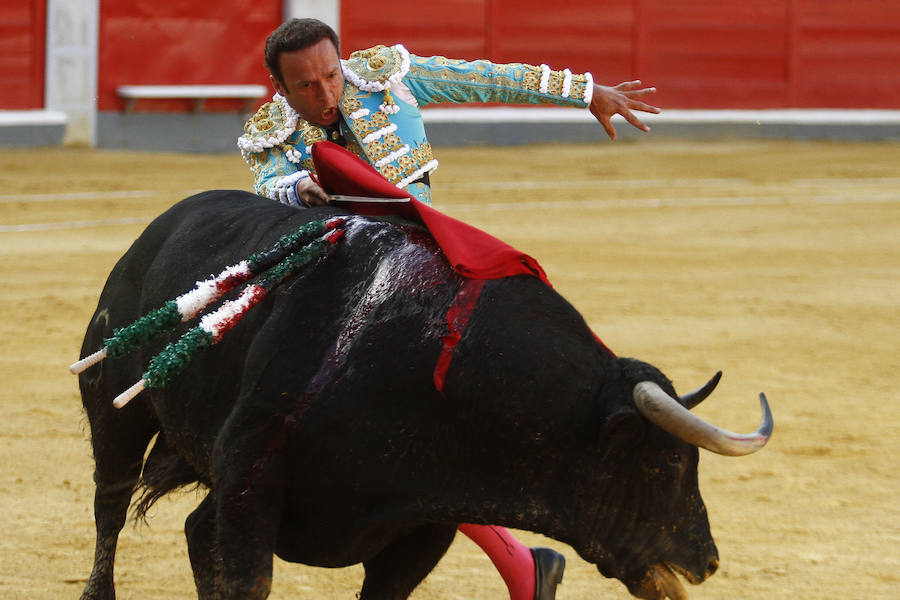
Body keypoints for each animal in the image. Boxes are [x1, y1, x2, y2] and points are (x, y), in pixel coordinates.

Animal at [74, 190, 772, 596]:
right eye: (668, 462)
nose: (706, 560)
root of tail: (163, 223)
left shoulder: (425, 520)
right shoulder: (250, 483)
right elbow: (247, 579)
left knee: (196, 530)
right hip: (115, 408)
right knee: (111, 505)